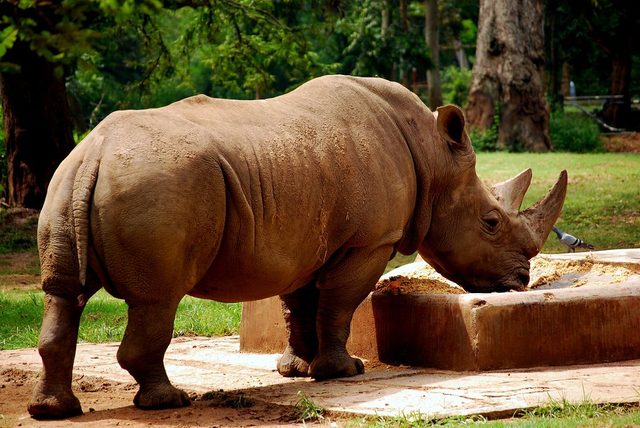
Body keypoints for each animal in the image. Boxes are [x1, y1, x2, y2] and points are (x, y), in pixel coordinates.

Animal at [28, 75, 567, 418]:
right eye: (491, 223)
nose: (521, 281)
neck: (433, 158)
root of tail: (94, 155)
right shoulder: (369, 242)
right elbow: (339, 304)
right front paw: (343, 371)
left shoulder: (300, 238)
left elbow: (299, 304)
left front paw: (298, 370)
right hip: (158, 185)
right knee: (157, 298)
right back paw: (168, 402)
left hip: (67, 183)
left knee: (62, 294)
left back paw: (53, 411)